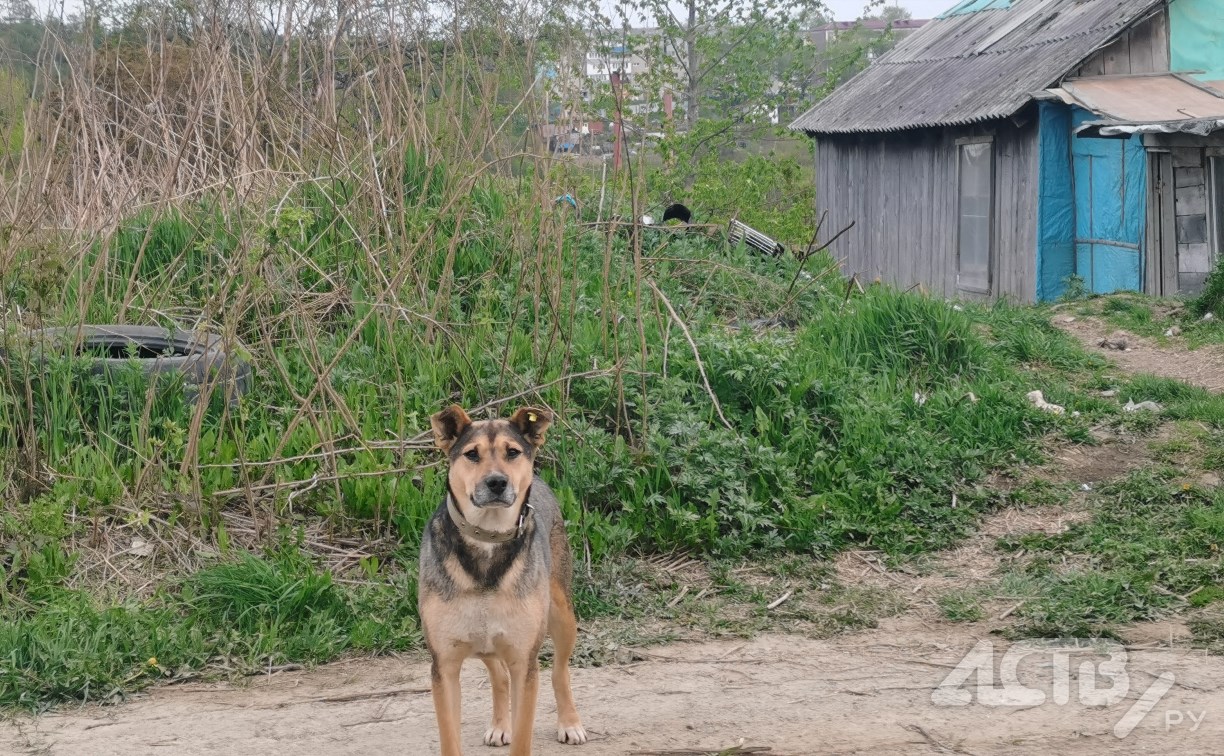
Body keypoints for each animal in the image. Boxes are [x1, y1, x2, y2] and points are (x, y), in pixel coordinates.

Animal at [421, 406, 587, 753]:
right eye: (472, 454)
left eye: (512, 452)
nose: (497, 482)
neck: (488, 538)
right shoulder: (444, 665)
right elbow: (450, 737)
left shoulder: (524, 662)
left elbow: (523, 736)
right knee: (498, 675)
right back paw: (500, 725)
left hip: (562, 614)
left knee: (559, 671)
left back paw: (569, 722)